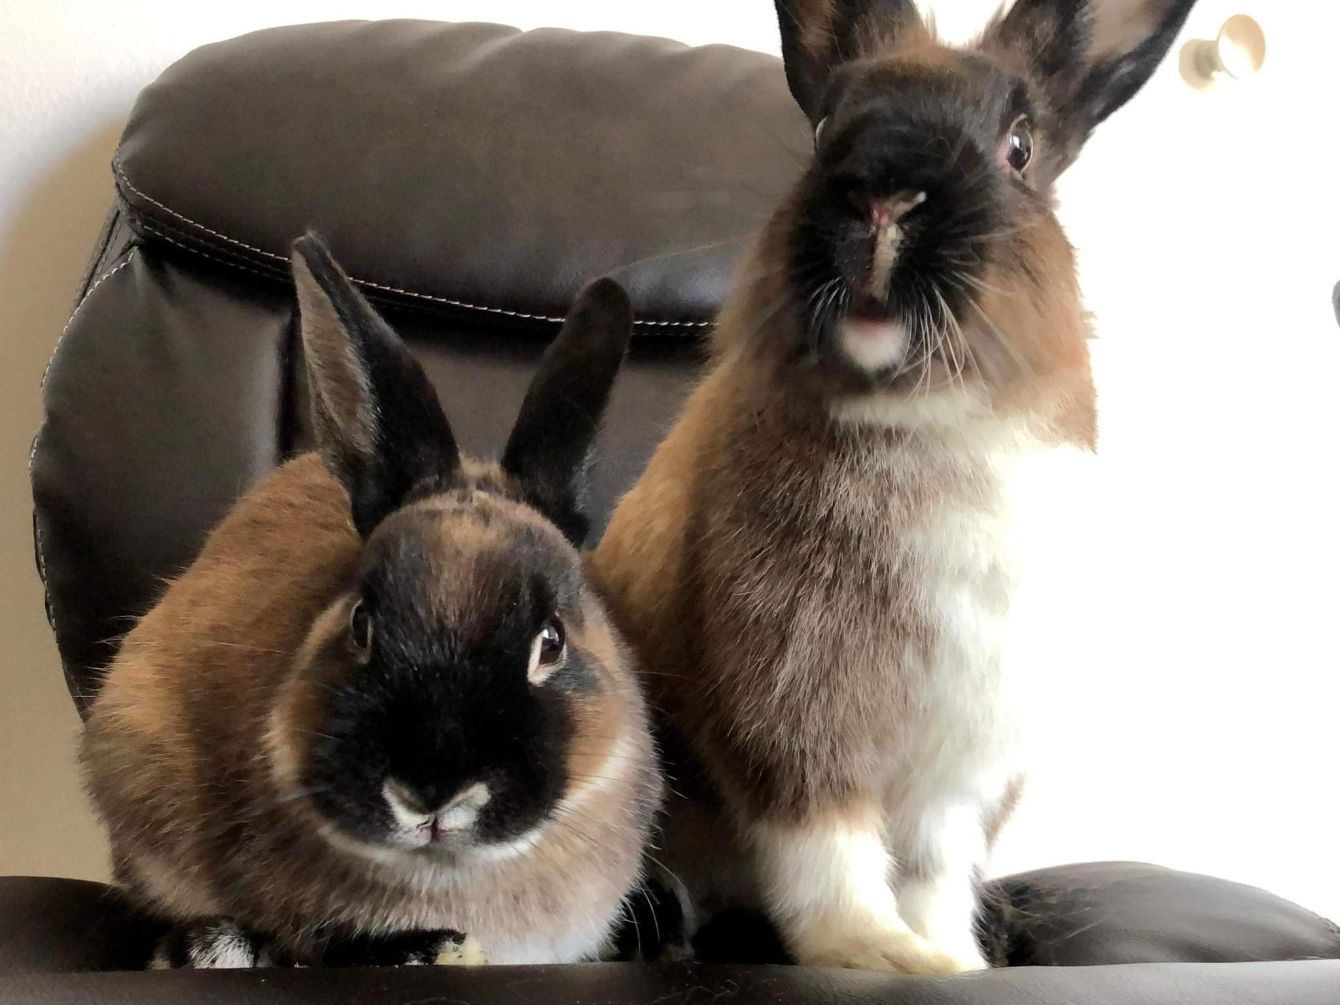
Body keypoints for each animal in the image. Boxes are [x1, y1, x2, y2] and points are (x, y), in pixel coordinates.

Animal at [591, 0, 1197, 976]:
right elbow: (827, 851)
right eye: (825, 129)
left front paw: (952, 958)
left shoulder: (962, 759)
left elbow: (932, 869)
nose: (882, 194)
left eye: (1019, 145)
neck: (915, 420)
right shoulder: (794, 720)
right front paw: (880, 953)